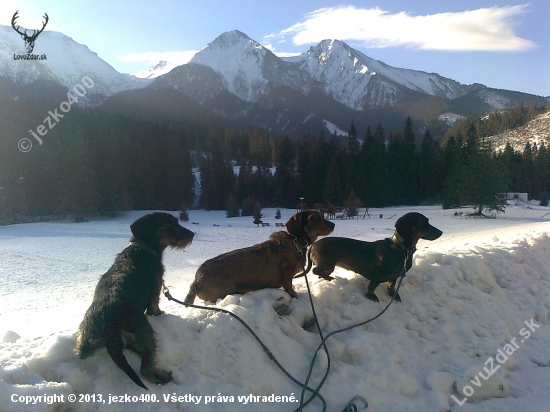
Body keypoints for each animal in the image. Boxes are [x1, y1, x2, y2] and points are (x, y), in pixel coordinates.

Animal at [73, 212, 194, 390]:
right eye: (169, 224)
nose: (192, 235)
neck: (142, 246)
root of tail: (110, 327)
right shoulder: (156, 287)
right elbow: (154, 307)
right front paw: (159, 314)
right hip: (144, 333)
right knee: (145, 369)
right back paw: (163, 376)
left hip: (86, 338)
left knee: (81, 352)